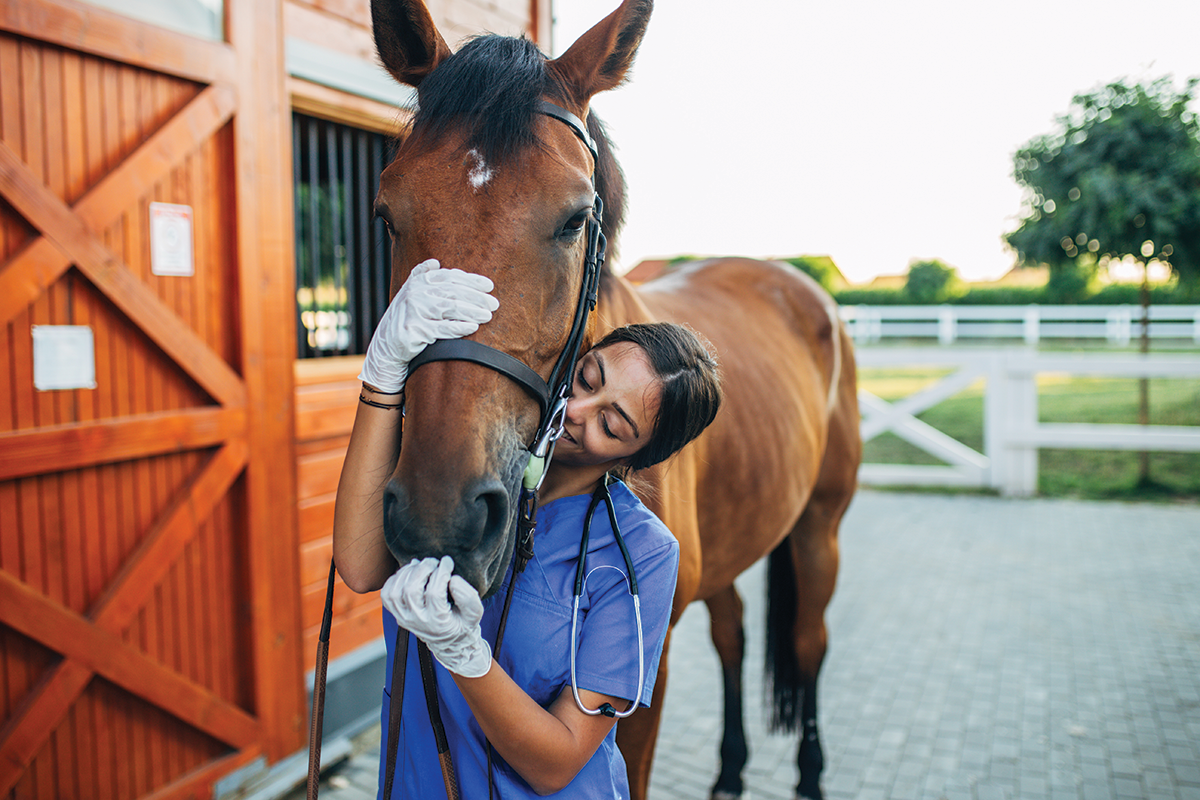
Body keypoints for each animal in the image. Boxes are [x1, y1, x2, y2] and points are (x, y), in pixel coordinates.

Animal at [367, 3, 864, 796]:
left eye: (575, 218)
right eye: (388, 213)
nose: (439, 516)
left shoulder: (643, 683)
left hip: (821, 526)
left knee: (809, 641)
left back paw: (811, 774)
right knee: (732, 633)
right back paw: (730, 769)